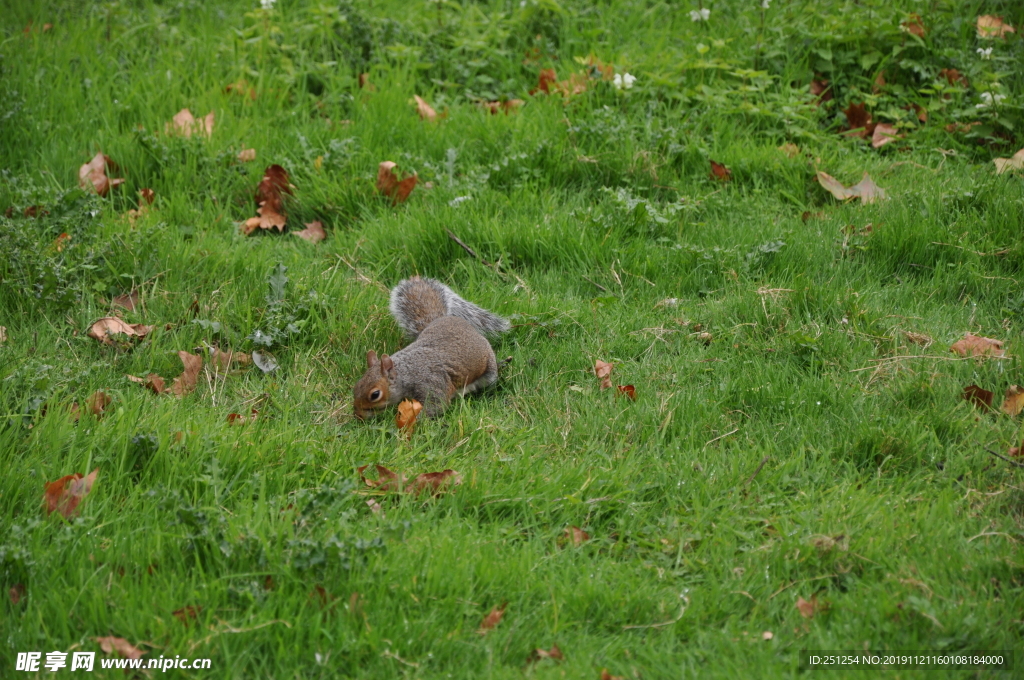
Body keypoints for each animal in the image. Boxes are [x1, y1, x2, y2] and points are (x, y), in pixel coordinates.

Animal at [354, 276, 509, 419]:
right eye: (356, 385)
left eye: (375, 394)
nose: (358, 415)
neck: (406, 372)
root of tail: (444, 318)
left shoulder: (431, 381)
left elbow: (437, 405)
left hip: (489, 369)